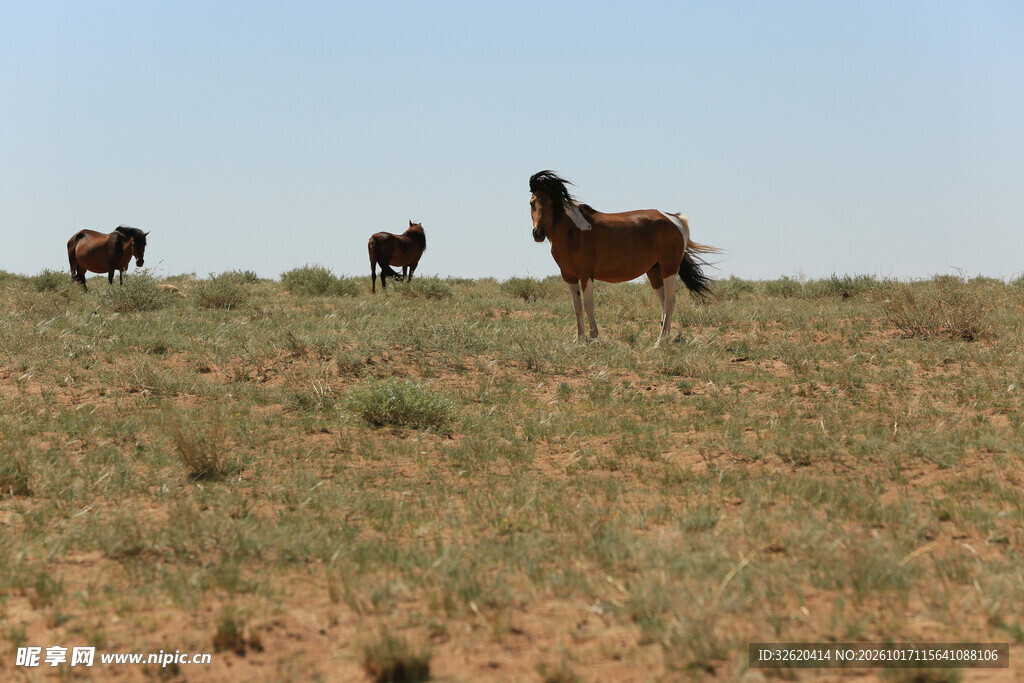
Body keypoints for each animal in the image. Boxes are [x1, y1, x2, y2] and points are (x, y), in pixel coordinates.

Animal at [529, 171, 721, 344]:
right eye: (532, 203)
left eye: (551, 202)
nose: (537, 233)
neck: (573, 230)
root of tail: (675, 218)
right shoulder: (568, 276)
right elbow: (577, 307)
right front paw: (579, 338)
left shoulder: (586, 274)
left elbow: (589, 305)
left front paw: (593, 337)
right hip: (654, 271)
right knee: (664, 302)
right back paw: (663, 337)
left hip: (669, 269)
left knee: (670, 302)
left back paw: (660, 341)